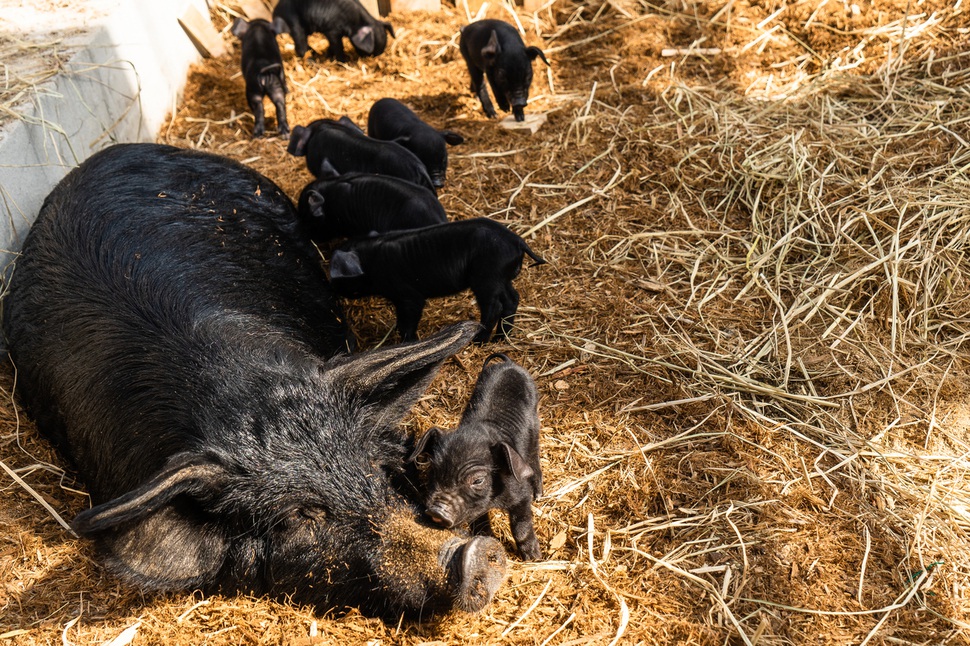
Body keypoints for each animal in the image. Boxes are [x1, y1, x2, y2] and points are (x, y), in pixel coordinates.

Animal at [328, 219, 544, 344]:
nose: (332, 288)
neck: (371, 262)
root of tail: (517, 241)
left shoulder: (408, 296)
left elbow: (408, 321)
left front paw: (407, 342)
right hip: (501, 278)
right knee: (512, 299)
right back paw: (501, 340)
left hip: (487, 277)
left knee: (494, 306)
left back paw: (478, 341)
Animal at [406, 354, 544, 560]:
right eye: (434, 471)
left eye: (478, 480)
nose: (437, 511)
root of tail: (509, 363)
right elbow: (480, 523)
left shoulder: (521, 495)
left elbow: (522, 527)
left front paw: (534, 558)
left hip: (535, 426)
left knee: (534, 456)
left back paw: (540, 495)